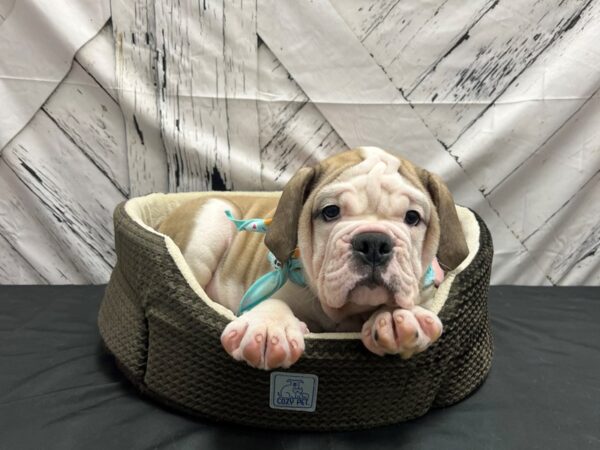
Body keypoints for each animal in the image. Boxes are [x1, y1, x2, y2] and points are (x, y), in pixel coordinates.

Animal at [158, 147, 468, 370]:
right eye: (330, 211)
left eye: (412, 217)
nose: (373, 242)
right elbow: (275, 302)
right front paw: (268, 328)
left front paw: (395, 316)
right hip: (211, 221)